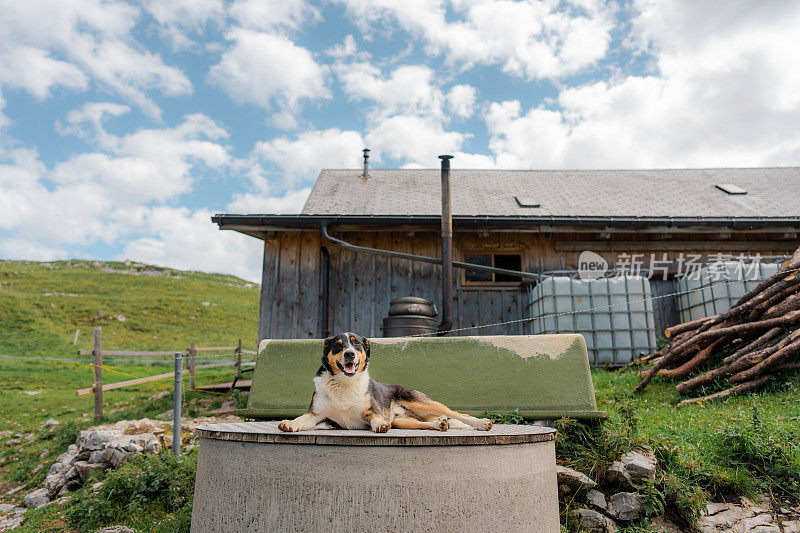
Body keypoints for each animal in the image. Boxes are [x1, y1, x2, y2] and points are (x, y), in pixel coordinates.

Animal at [280, 332, 494, 432]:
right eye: (338, 346)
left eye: (356, 344)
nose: (349, 354)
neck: (344, 383)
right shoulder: (317, 416)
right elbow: (300, 419)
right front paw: (289, 423)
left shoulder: (370, 412)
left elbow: (376, 418)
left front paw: (379, 426)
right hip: (403, 421)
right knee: (429, 423)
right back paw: (440, 424)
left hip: (423, 402)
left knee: (459, 414)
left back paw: (482, 423)